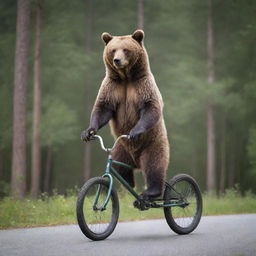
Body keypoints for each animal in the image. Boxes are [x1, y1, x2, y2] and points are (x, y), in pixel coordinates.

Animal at [81, 29, 170, 198]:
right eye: (113, 50)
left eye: (126, 50)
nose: (117, 60)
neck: (126, 77)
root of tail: (136, 162)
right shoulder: (112, 87)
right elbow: (103, 108)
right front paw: (88, 131)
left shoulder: (143, 85)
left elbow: (151, 107)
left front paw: (135, 131)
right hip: (121, 149)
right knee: (121, 168)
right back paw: (128, 184)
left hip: (152, 143)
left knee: (154, 164)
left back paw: (152, 191)